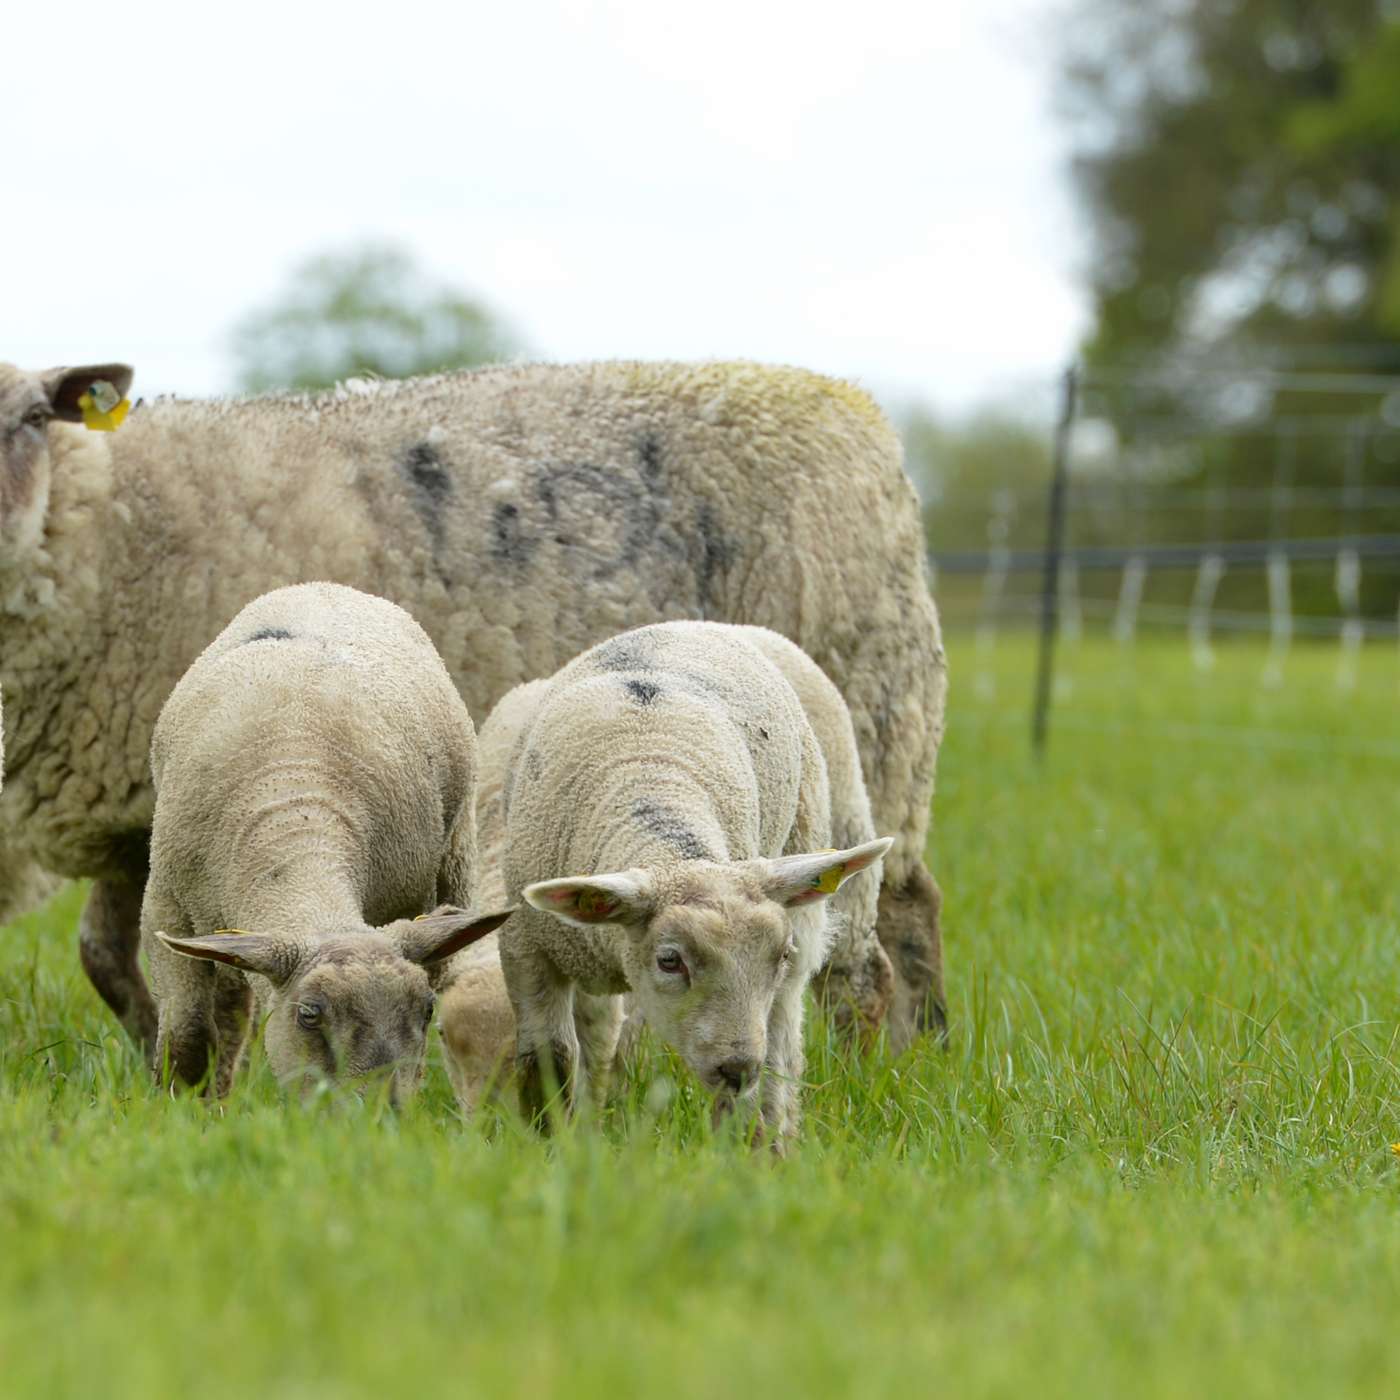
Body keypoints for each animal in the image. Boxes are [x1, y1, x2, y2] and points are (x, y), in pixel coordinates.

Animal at [140, 582, 510, 1101]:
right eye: (309, 1015)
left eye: (427, 1010)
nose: (377, 1111)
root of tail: (329, 588)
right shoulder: (165, 908)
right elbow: (189, 1035)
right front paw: (183, 1103)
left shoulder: (407, 907)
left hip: (451, 868)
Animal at [437, 630, 894, 1116]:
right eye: (669, 961)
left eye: (780, 954)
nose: (737, 1070)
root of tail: (705, 626)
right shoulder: (529, 951)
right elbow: (551, 1060)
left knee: (786, 1039)